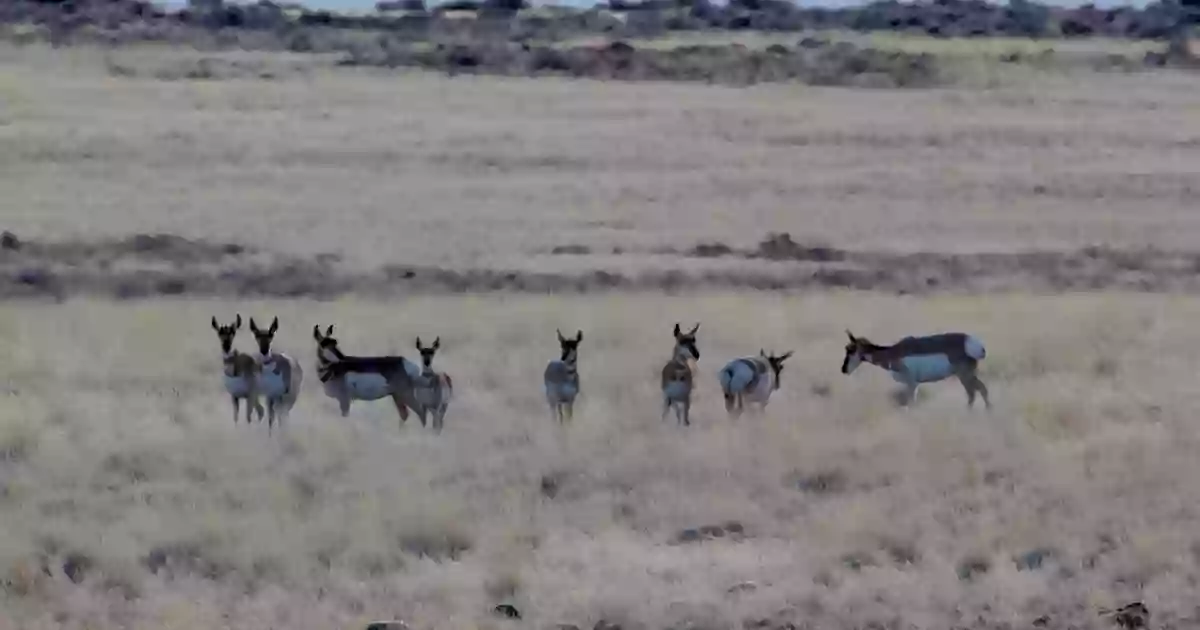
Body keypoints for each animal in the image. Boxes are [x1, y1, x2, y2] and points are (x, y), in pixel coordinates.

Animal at [840, 328, 988, 408]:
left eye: (851, 350)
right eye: (846, 348)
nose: (844, 370)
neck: (892, 353)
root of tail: (972, 342)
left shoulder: (911, 383)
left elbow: (910, 403)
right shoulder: (914, 385)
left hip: (964, 375)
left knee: (976, 391)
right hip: (966, 375)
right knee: (977, 391)